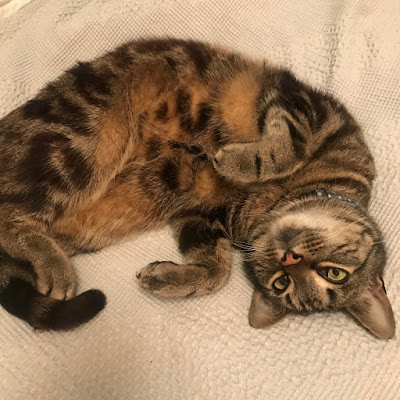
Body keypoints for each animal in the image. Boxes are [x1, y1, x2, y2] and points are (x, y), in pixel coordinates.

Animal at [0, 36, 394, 338]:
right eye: (334, 272)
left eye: (281, 283)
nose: (289, 258)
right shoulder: (306, 106)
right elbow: (288, 147)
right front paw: (237, 161)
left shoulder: (199, 213)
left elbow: (216, 269)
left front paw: (170, 279)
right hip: (77, 140)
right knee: (9, 214)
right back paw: (53, 264)